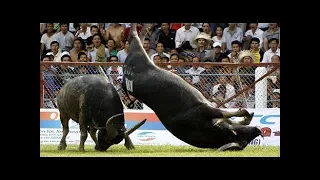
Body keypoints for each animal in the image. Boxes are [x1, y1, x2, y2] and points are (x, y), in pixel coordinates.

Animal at [121, 23, 262, 151]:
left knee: (138, 36)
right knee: (134, 35)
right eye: (243, 139)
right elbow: (225, 113)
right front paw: (245, 113)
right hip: (139, 52)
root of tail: (125, 72)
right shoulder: (205, 109)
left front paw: (248, 115)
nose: (258, 130)